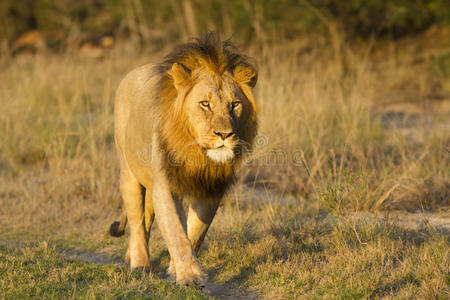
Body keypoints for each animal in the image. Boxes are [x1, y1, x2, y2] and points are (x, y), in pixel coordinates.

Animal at [108, 31, 256, 288]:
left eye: (235, 104)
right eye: (205, 104)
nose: (225, 135)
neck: (198, 153)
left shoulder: (211, 189)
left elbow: (195, 231)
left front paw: (174, 269)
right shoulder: (166, 185)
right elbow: (176, 231)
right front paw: (189, 276)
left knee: (146, 219)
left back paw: (131, 257)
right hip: (129, 173)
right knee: (137, 222)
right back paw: (140, 263)